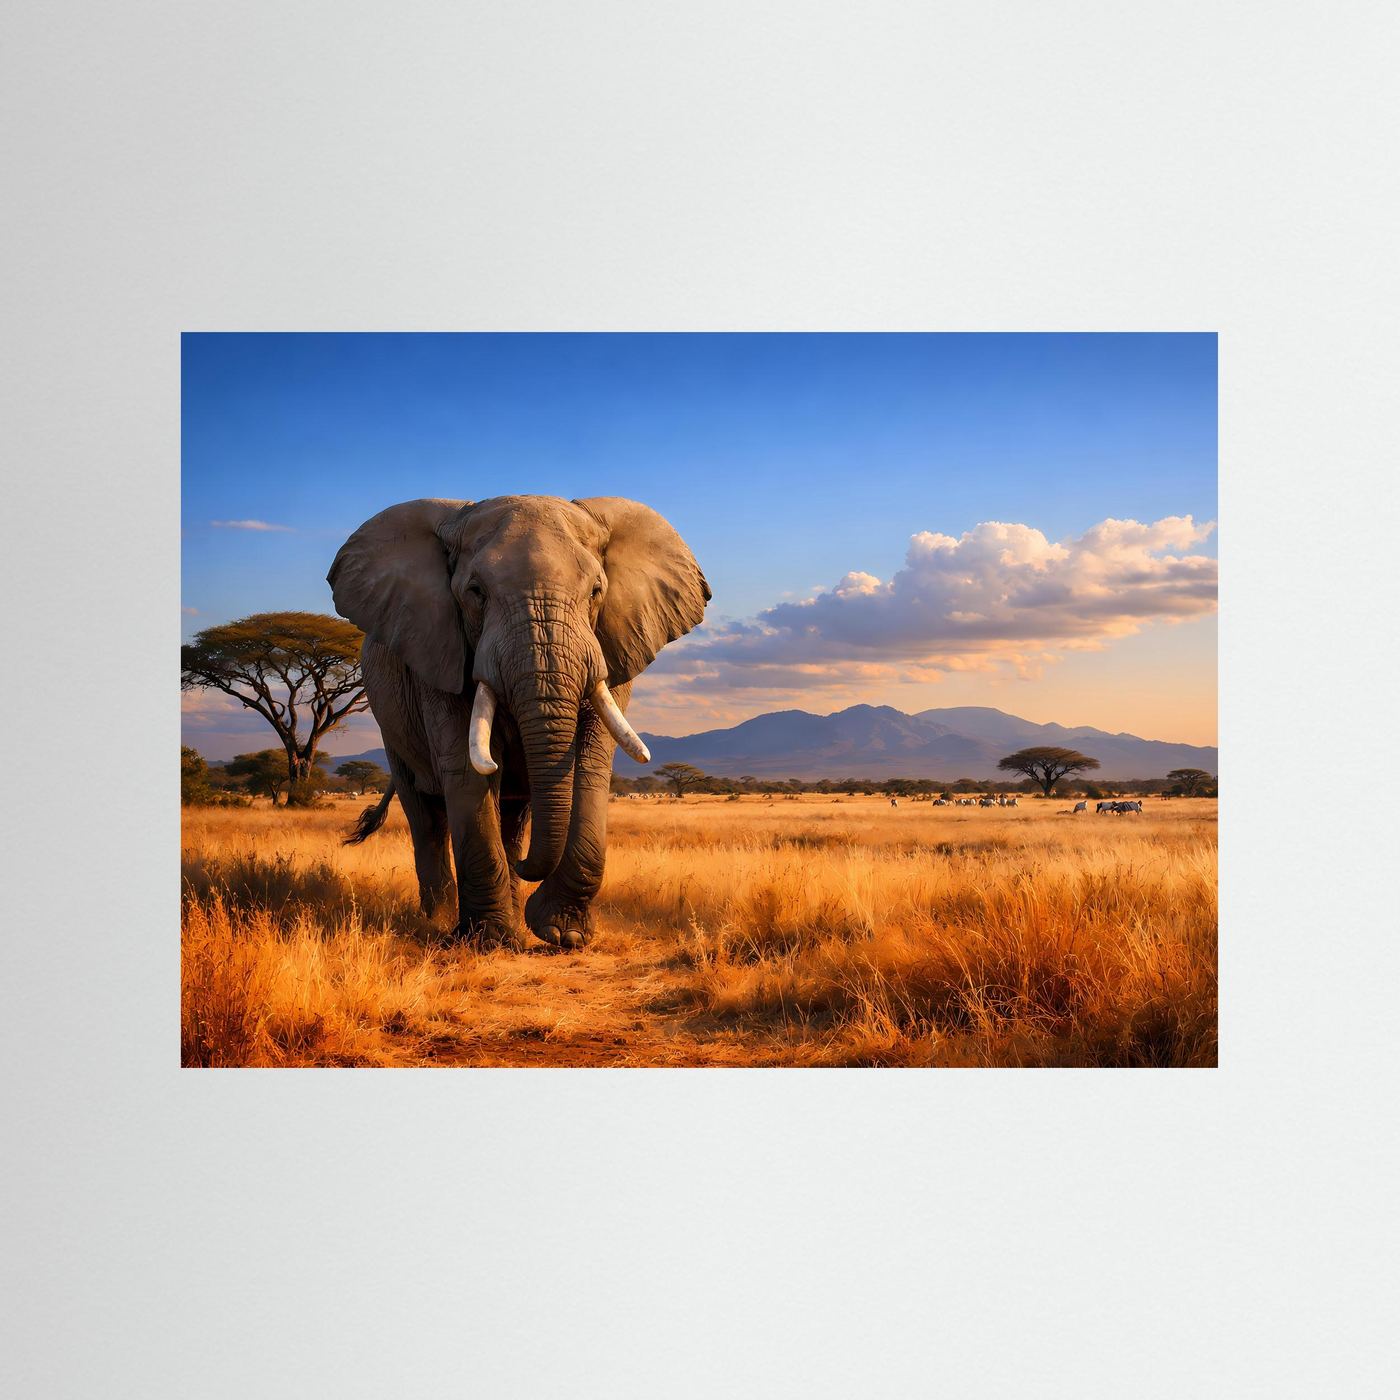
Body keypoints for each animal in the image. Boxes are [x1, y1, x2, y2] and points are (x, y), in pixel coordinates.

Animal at [327, 494, 709, 949]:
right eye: (475, 593)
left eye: (596, 591)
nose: (531, 867)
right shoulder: (437, 648)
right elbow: (467, 771)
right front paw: (487, 941)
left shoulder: (613, 644)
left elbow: (592, 766)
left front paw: (563, 934)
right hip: (391, 723)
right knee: (426, 816)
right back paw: (438, 919)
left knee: (512, 818)